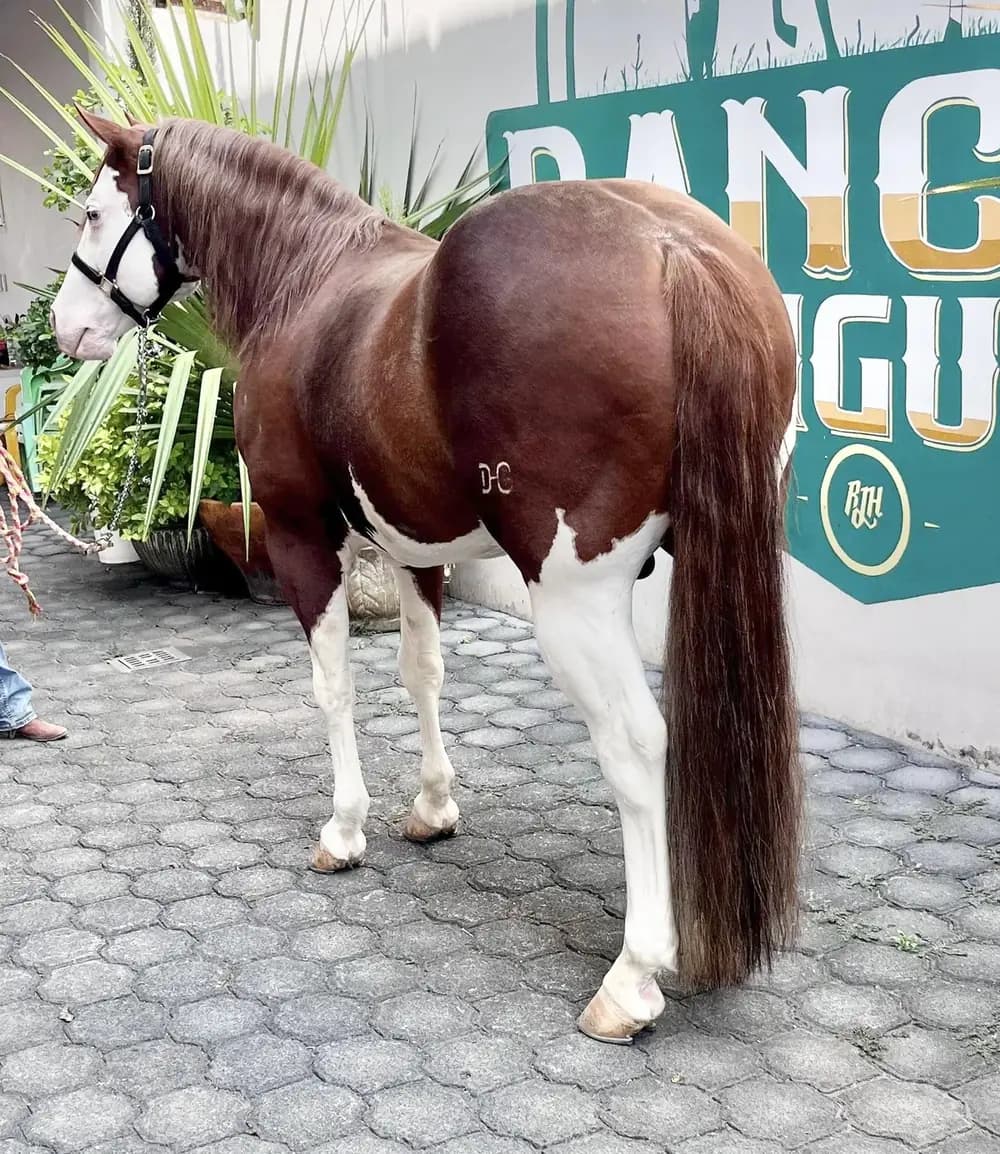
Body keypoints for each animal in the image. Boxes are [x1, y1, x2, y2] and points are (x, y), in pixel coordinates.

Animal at [52, 110, 802, 1044]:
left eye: (91, 212)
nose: (63, 329)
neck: (310, 278)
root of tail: (672, 248)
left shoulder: (304, 539)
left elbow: (333, 685)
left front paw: (345, 830)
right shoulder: (417, 548)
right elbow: (423, 672)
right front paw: (433, 809)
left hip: (576, 602)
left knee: (636, 745)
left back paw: (632, 979)